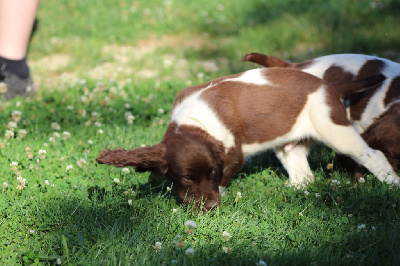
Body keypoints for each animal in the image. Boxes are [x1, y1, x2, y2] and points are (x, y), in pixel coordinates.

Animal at [96, 68, 396, 212]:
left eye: (212, 172)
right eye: (188, 178)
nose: (211, 208)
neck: (194, 122)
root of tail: (330, 86)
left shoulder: (233, 154)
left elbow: (225, 178)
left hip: (333, 128)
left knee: (372, 155)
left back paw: (393, 184)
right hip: (289, 145)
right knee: (303, 175)